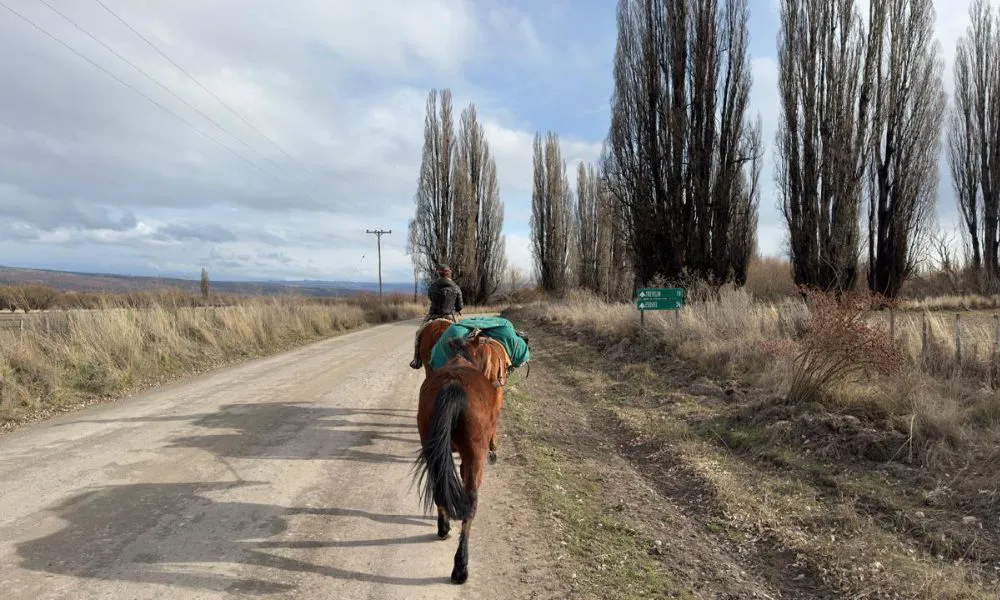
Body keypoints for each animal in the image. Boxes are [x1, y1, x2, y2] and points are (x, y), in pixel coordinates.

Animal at [412, 333, 509, 584]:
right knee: (470, 504)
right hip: (475, 456)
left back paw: (443, 528)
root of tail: (454, 384)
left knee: (439, 489)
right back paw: (460, 567)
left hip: (432, 450)